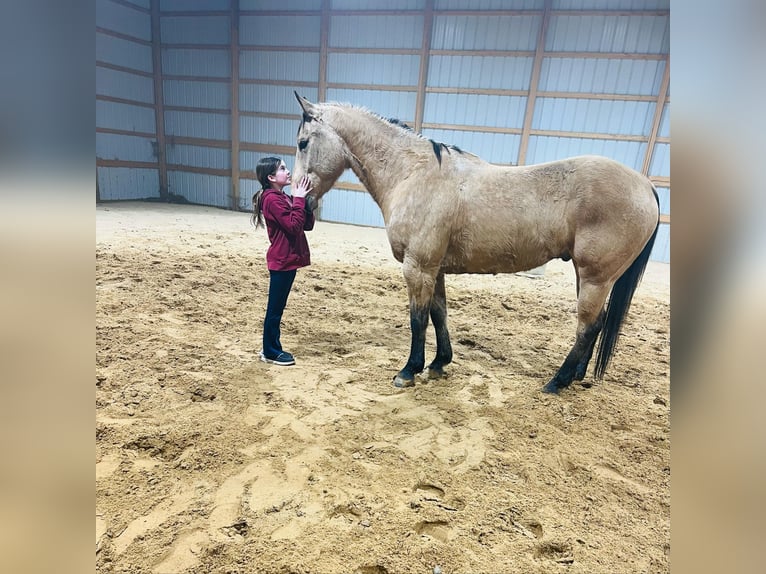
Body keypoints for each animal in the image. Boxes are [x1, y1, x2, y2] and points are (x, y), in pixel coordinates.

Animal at [292, 93, 664, 396]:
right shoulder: (435, 269)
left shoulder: (417, 267)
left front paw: (409, 371)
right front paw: (439, 364)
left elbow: (418, 318)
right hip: (590, 278)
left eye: (302, 143)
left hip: (594, 278)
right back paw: (575, 376)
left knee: (586, 327)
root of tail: (646, 185)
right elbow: (439, 314)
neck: (414, 174)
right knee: (596, 324)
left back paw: (556, 382)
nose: (301, 200)